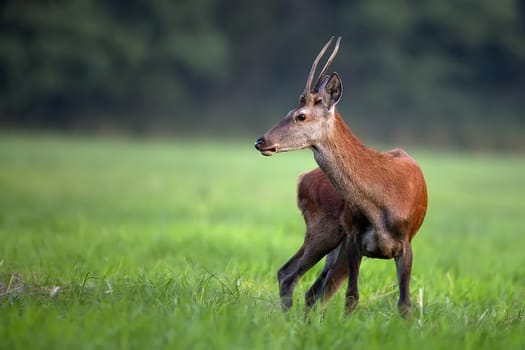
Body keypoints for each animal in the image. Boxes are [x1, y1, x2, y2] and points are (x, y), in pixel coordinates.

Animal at [256, 37, 428, 316]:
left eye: (300, 115)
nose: (260, 141)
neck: (382, 202)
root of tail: (302, 179)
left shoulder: (405, 242)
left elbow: (404, 304)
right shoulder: (355, 239)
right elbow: (352, 297)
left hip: (333, 241)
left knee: (312, 289)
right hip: (323, 229)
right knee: (289, 274)